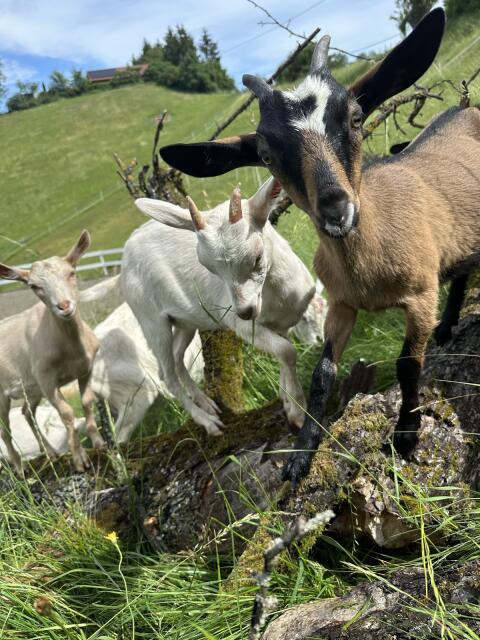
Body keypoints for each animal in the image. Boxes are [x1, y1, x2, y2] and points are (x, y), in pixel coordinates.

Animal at [0, 231, 105, 473]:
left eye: (72, 272)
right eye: (33, 286)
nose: (64, 306)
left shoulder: (86, 369)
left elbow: (87, 402)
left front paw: (99, 443)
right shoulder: (47, 380)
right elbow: (66, 413)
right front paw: (80, 459)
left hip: (32, 390)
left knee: (26, 413)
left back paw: (50, 453)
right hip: (3, 394)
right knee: (5, 428)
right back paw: (19, 467)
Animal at [121, 178, 316, 434]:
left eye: (257, 256)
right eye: (209, 267)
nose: (245, 311)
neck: (278, 297)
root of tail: (125, 253)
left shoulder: (280, 323)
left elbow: (283, 350)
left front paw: (285, 397)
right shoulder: (240, 325)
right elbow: (286, 351)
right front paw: (297, 413)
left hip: (184, 321)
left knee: (176, 360)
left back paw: (207, 403)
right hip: (150, 319)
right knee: (167, 376)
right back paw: (208, 422)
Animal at [157, 9, 476, 484]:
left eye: (357, 117)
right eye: (265, 154)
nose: (336, 208)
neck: (366, 266)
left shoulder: (421, 292)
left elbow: (407, 363)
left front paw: (406, 434)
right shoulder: (342, 303)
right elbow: (323, 374)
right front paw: (302, 452)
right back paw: (448, 325)